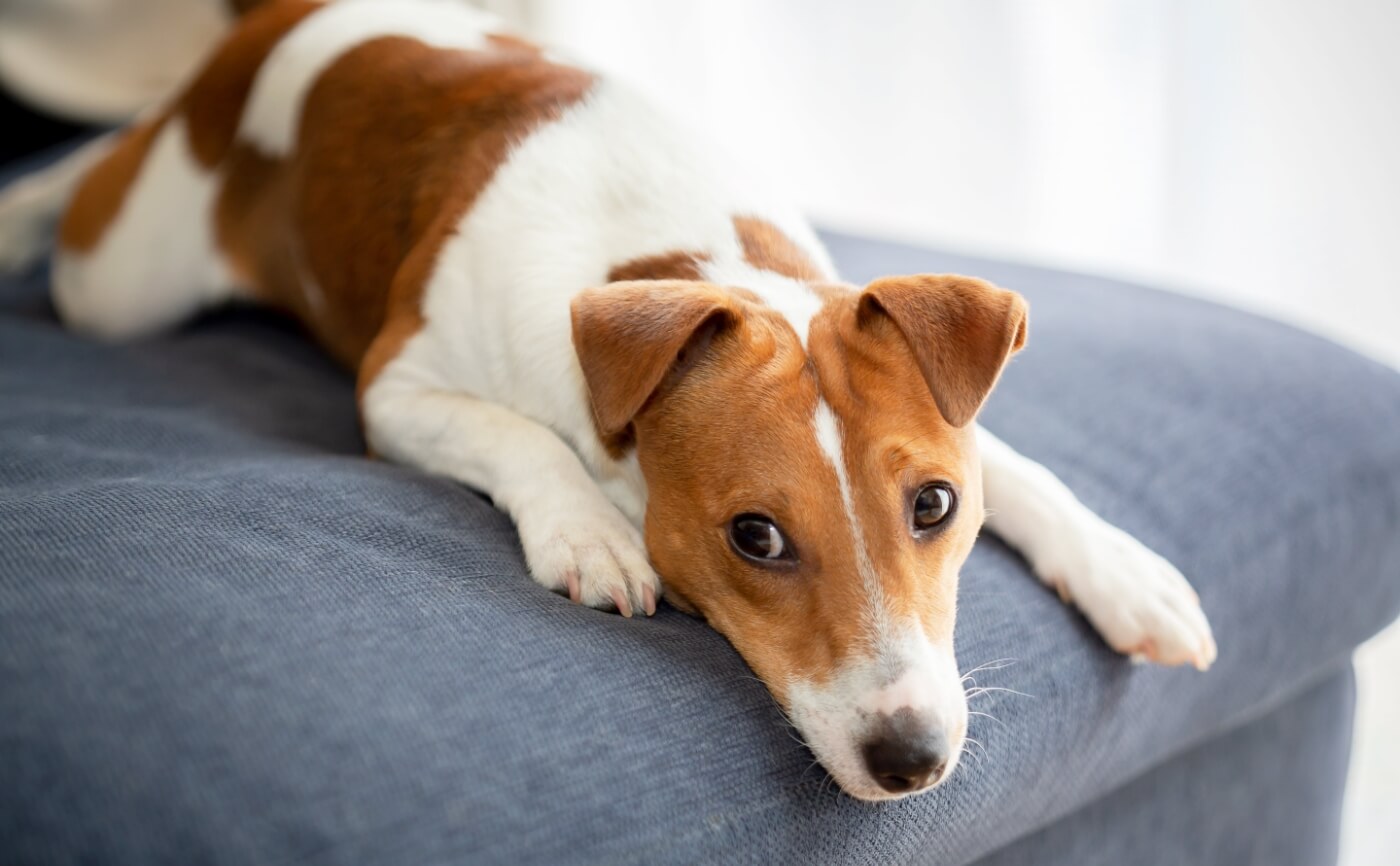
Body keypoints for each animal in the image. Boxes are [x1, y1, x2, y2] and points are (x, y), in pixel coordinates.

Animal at [0, 0, 1215, 800]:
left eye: (932, 508)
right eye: (753, 536)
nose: (911, 760)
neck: (676, 257)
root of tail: (283, 16)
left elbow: (1020, 465)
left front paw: (1127, 572)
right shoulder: (397, 389)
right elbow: (525, 438)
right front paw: (591, 534)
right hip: (122, 281)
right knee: (98, 169)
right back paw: (25, 211)